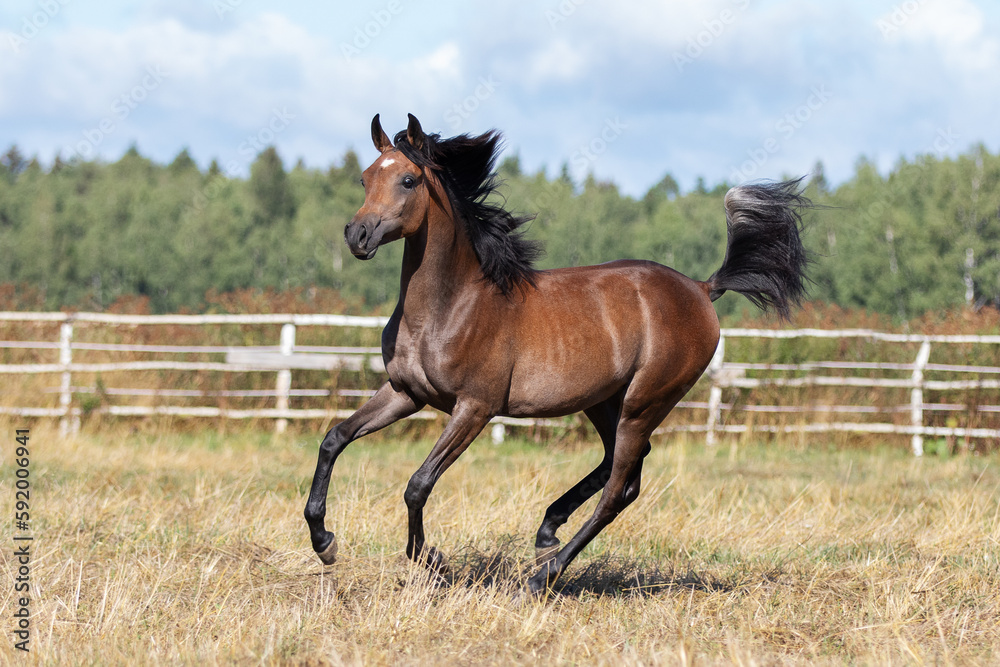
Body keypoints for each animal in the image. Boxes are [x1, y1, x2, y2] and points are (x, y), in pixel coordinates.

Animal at [300, 113, 808, 596]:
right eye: (365, 177)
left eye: (408, 180)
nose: (357, 235)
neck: (452, 305)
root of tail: (702, 289)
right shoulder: (406, 392)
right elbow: (334, 439)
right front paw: (325, 543)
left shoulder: (475, 408)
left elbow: (418, 485)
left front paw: (432, 562)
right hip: (604, 401)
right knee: (624, 472)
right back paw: (547, 533)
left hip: (646, 402)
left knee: (617, 490)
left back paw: (540, 578)